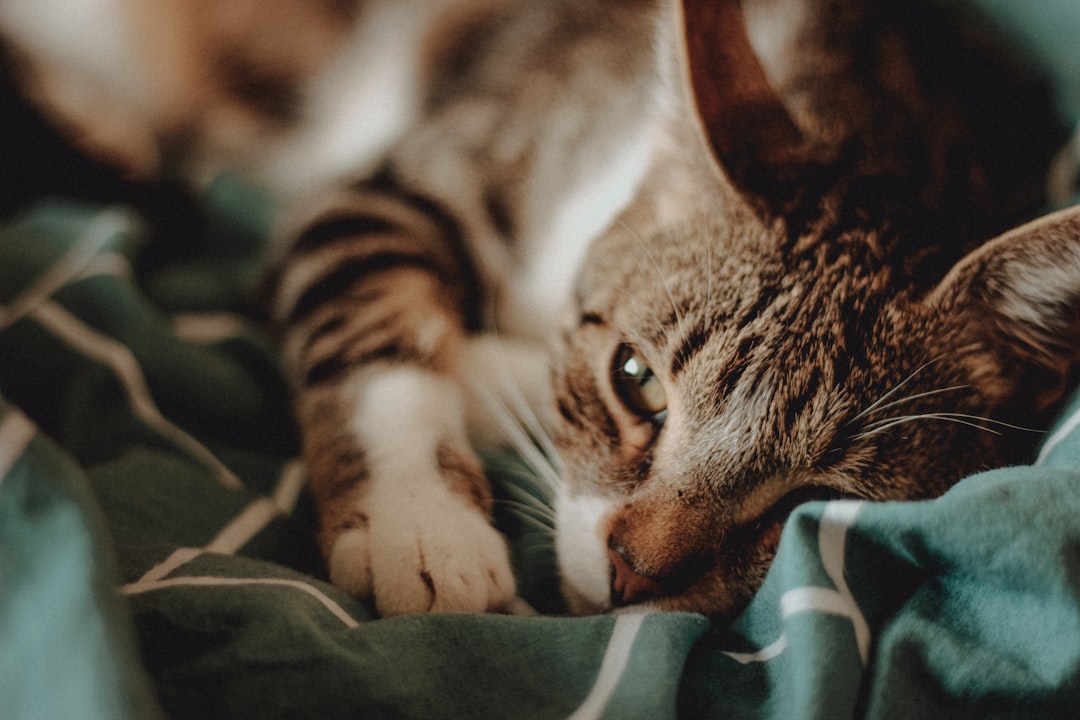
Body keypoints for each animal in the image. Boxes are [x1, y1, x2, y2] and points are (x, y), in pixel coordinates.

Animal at [2, 0, 1080, 621]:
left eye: (815, 497)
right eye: (637, 383)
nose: (636, 574)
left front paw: (490, 376)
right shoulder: (390, 187)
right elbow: (376, 332)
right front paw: (417, 520)